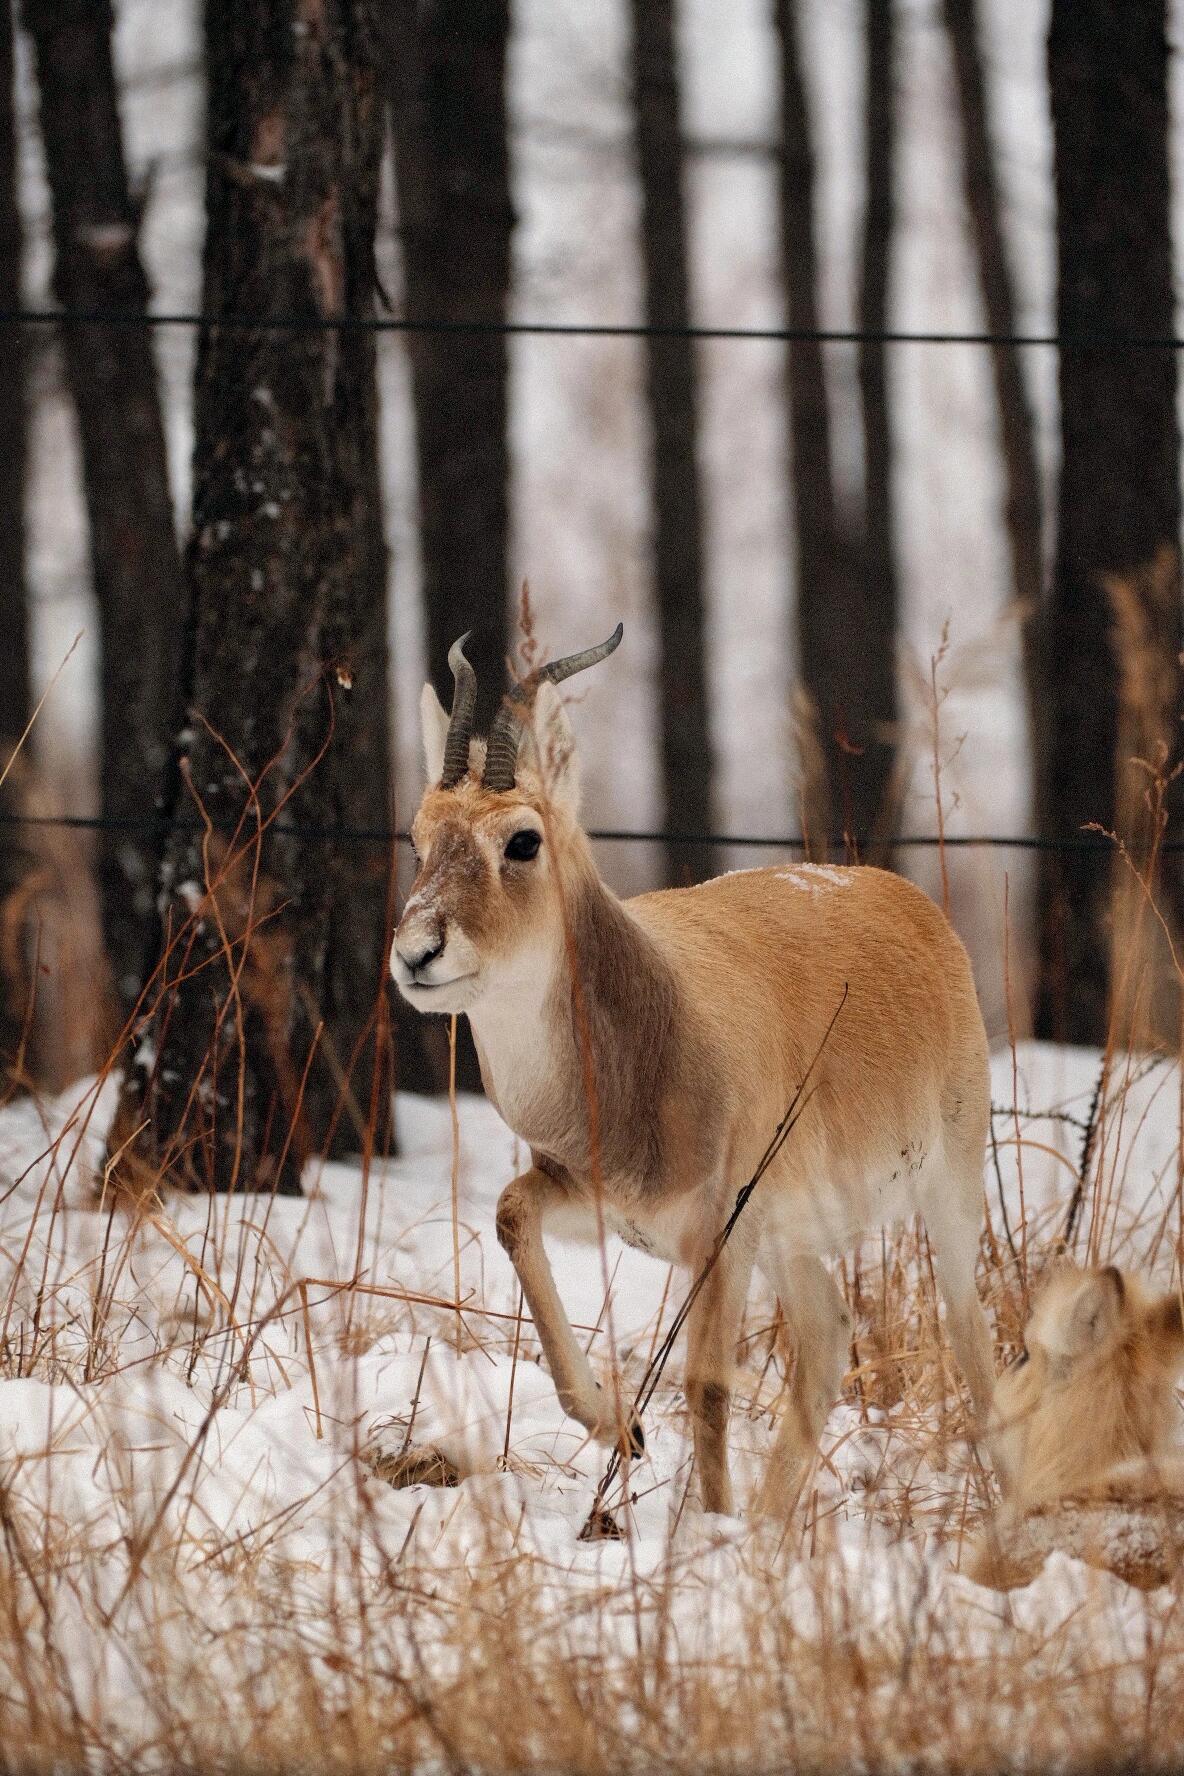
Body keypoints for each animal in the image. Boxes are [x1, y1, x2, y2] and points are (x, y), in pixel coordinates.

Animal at [394, 625, 994, 1513]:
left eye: (522, 840)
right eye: (418, 837)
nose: (416, 955)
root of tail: (911, 905)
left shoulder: (722, 1234)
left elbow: (707, 1383)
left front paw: (705, 1526)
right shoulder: (607, 1203)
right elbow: (508, 1212)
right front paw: (624, 1429)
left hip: (948, 1192)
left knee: (973, 1338)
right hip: (794, 1241)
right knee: (828, 1338)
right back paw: (770, 1525)